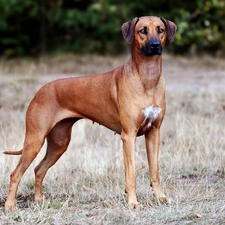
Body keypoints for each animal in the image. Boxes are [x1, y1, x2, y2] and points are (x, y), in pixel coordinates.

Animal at [3, 15, 176, 211]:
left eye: (160, 30)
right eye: (142, 30)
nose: (155, 45)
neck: (147, 77)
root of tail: (40, 91)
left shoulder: (154, 133)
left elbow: (155, 171)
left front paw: (161, 197)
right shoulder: (128, 136)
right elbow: (131, 174)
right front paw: (133, 202)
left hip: (59, 143)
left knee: (39, 169)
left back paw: (39, 200)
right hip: (35, 140)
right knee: (15, 173)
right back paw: (9, 206)